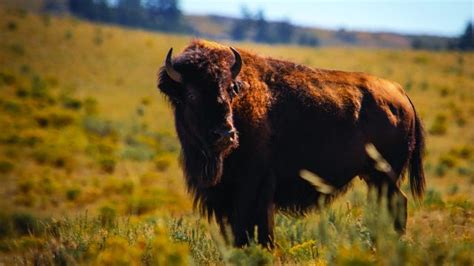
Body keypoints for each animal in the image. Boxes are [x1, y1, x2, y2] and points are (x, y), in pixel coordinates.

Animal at [158, 39, 426, 247]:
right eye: (191, 94)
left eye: (231, 89)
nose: (226, 134)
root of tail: (401, 95)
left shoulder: (253, 187)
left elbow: (254, 228)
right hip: (375, 178)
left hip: (385, 176)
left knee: (397, 204)